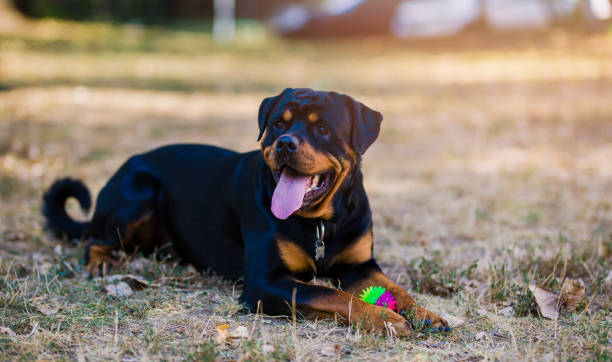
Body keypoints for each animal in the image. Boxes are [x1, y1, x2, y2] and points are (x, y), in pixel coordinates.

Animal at [40, 88, 448, 336]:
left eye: (323, 129)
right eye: (278, 124)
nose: (285, 143)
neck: (321, 223)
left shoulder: (361, 266)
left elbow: (398, 290)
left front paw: (426, 314)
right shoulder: (265, 281)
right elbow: (330, 295)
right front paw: (385, 319)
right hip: (138, 190)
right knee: (95, 239)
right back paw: (101, 262)